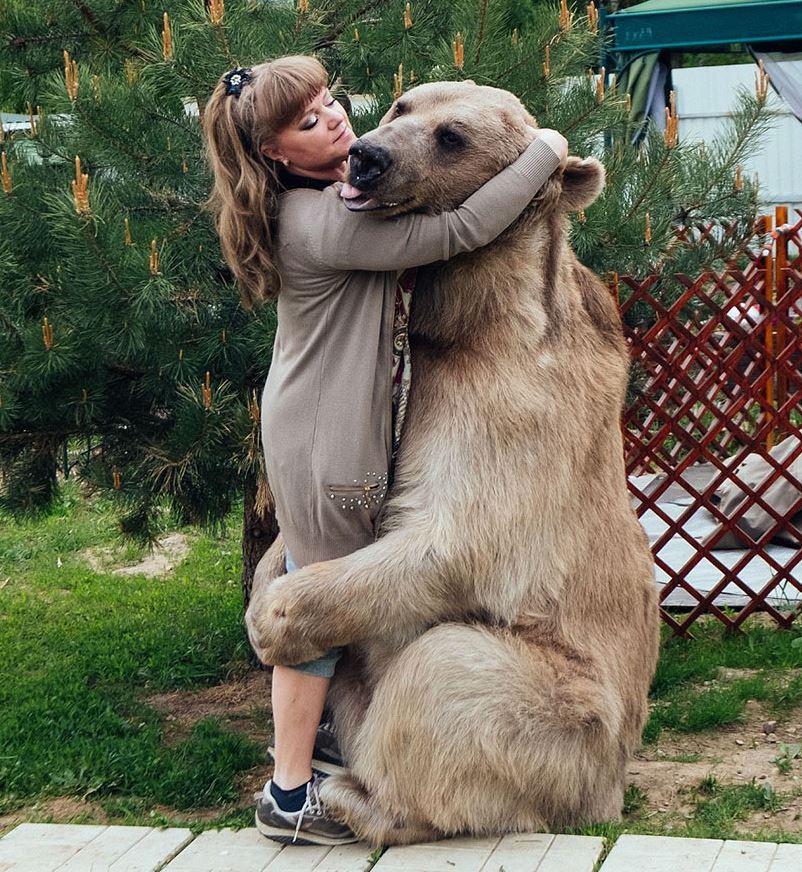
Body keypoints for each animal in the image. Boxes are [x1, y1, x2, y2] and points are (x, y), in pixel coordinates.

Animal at [247, 80, 660, 844]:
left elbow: (456, 540)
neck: (469, 321)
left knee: (443, 672)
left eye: (453, 137)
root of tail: (608, 793)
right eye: (400, 106)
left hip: (571, 716)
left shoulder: (516, 409)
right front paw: (267, 579)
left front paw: (273, 618)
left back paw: (351, 795)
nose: (367, 156)